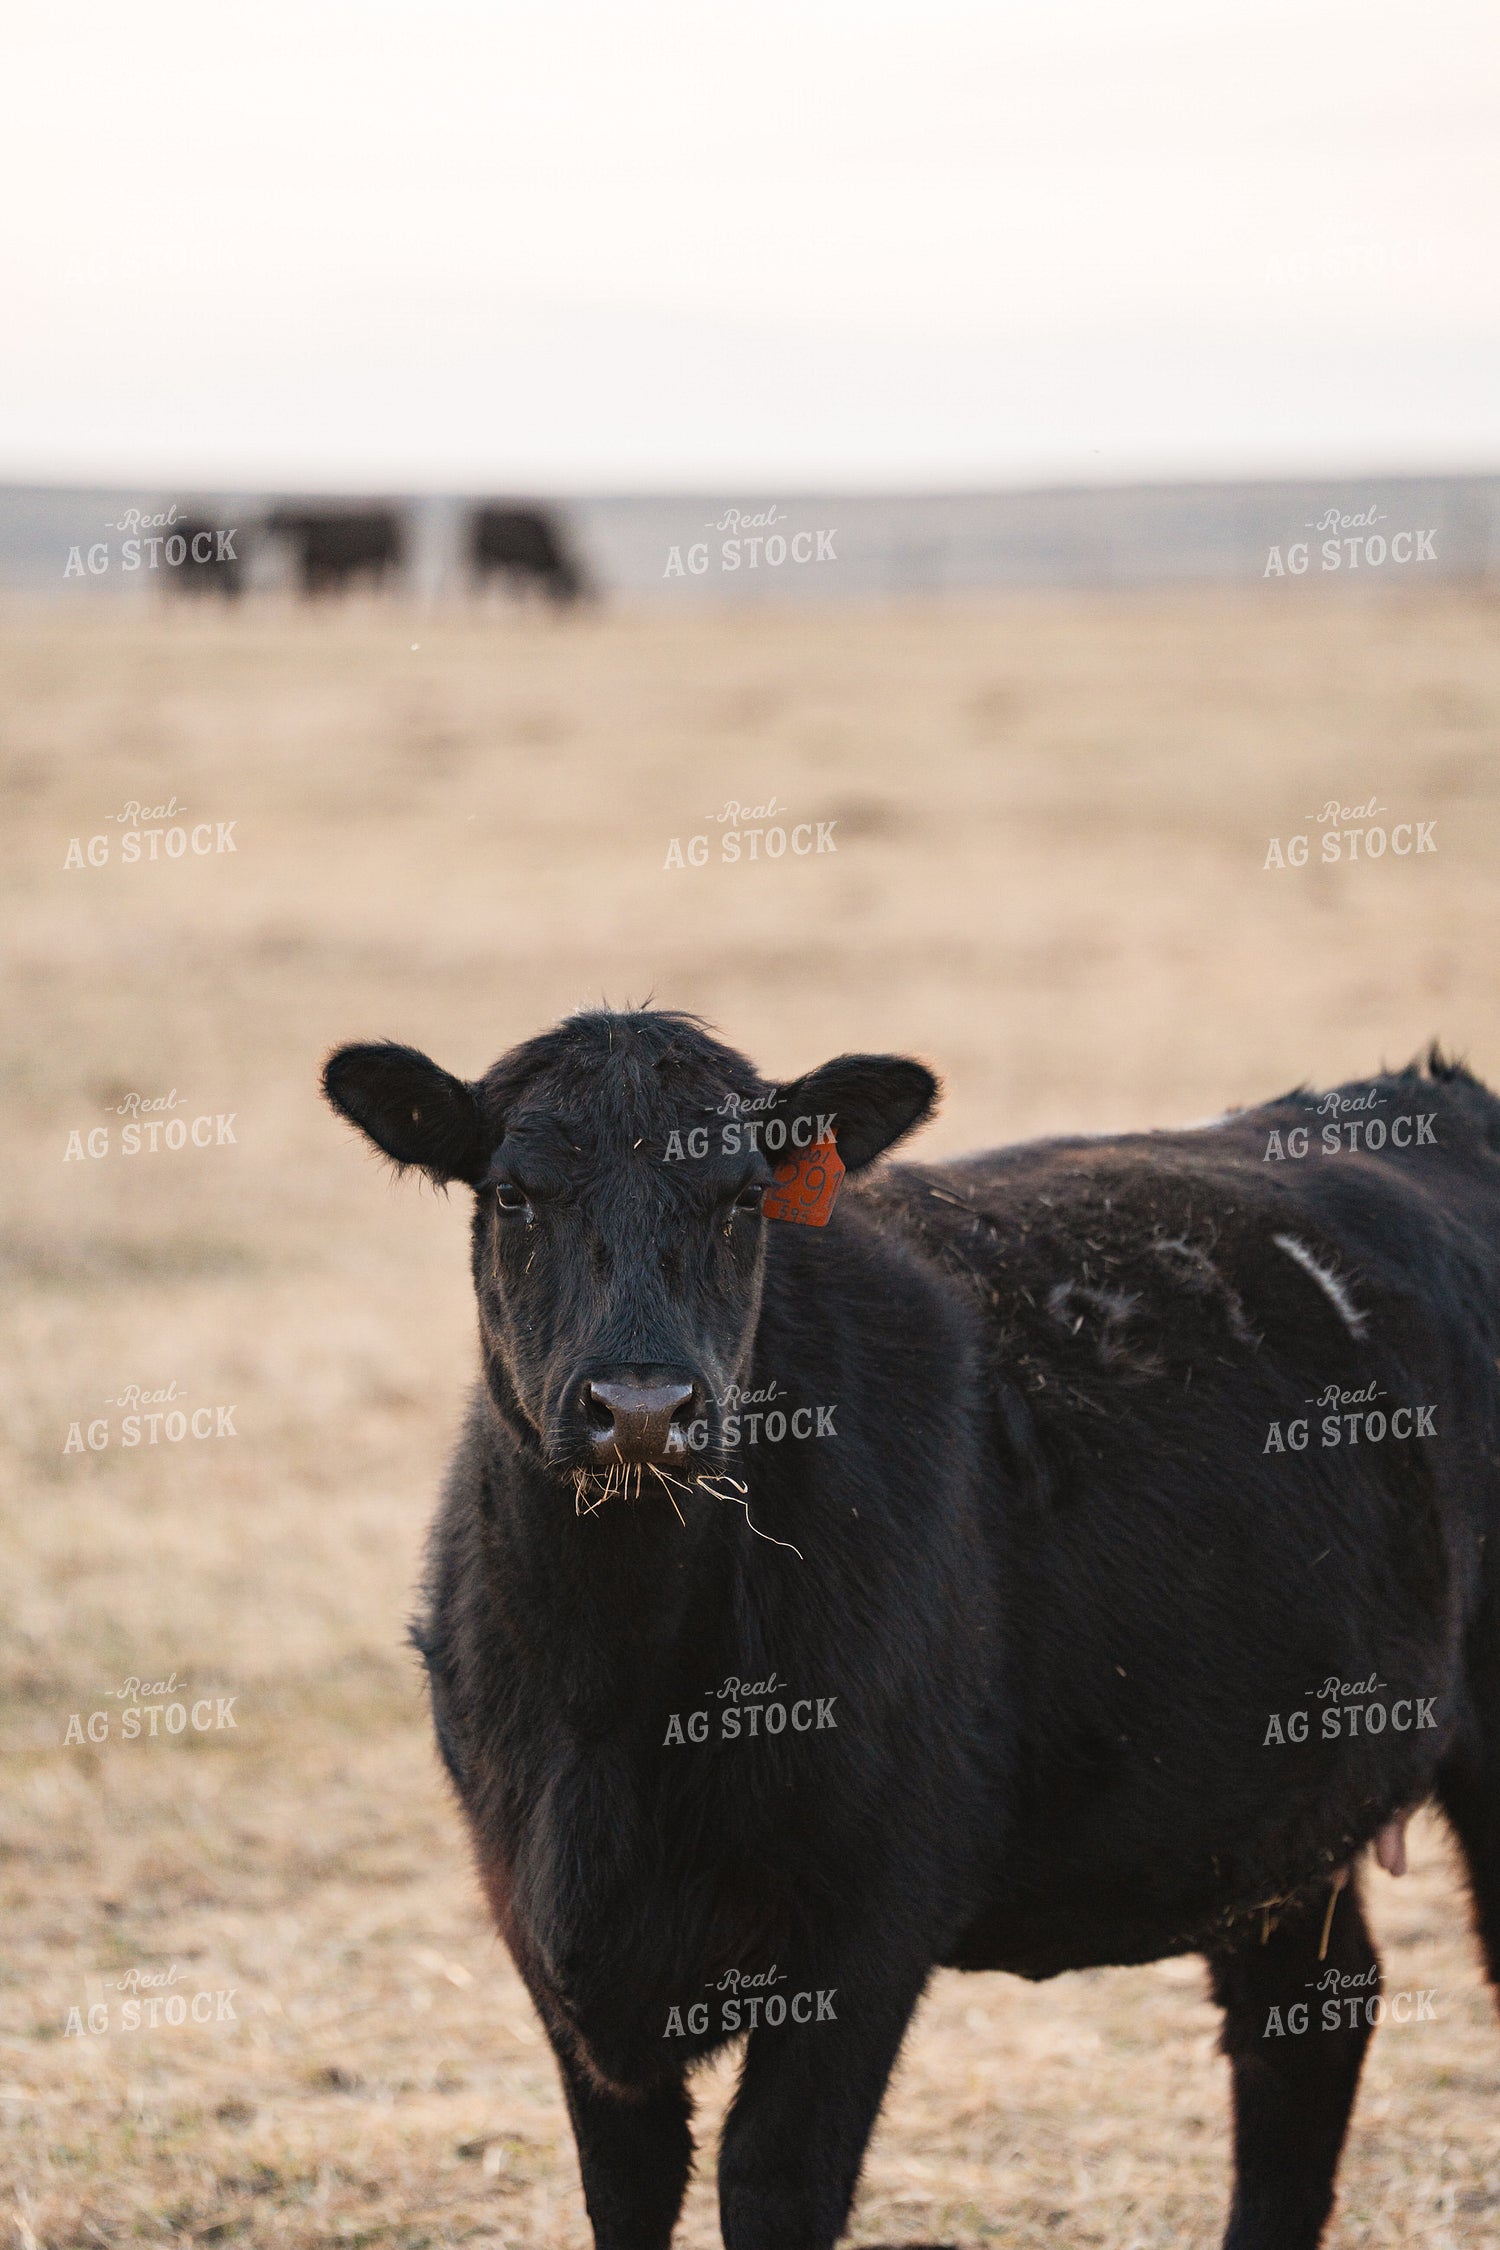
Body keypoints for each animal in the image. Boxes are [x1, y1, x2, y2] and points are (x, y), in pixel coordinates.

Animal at [321, 1009, 1500, 2250]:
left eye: (744, 1199)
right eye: (513, 1194)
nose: (641, 1409)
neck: (612, 1702)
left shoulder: (867, 1922)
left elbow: (774, 2180)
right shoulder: (547, 1936)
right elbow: (626, 2187)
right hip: (1271, 1794)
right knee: (1307, 2023)